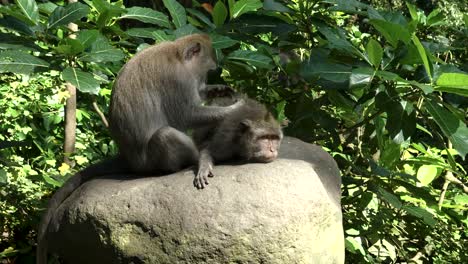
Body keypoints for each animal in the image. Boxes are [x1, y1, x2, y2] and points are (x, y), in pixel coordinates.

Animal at [36, 34, 245, 264]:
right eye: (206, 70)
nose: (205, 82)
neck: (177, 55)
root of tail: (127, 158)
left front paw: (218, 89)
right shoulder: (177, 80)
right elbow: (187, 114)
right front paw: (234, 110)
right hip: (150, 161)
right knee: (165, 135)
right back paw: (198, 160)